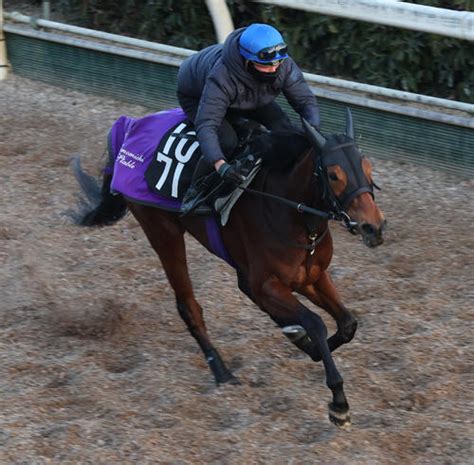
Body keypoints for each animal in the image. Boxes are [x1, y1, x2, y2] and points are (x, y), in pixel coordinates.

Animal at [73, 107, 386, 426]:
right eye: (334, 175)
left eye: (368, 167)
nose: (373, 227)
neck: (291, 214)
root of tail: (128, 128)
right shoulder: (268, 283)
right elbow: (316, 323)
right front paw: (338, 402)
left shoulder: (310, 276)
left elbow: (347, 323)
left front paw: (305, 342)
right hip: (163, 232)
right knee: (189, 305)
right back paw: (222, 372)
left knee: (244, 288)